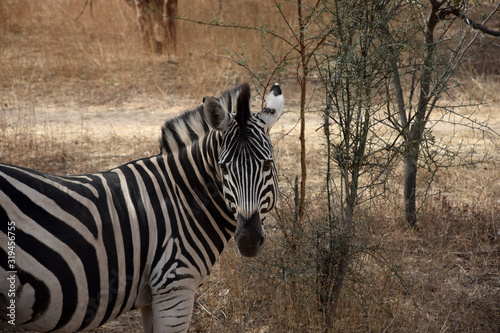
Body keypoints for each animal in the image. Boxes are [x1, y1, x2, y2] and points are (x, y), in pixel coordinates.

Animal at [0, 81, 284, 330]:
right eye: (224, 168)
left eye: (267, 164)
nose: (248, 240)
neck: (182, 199)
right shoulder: (174, 289)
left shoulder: (153, 298)